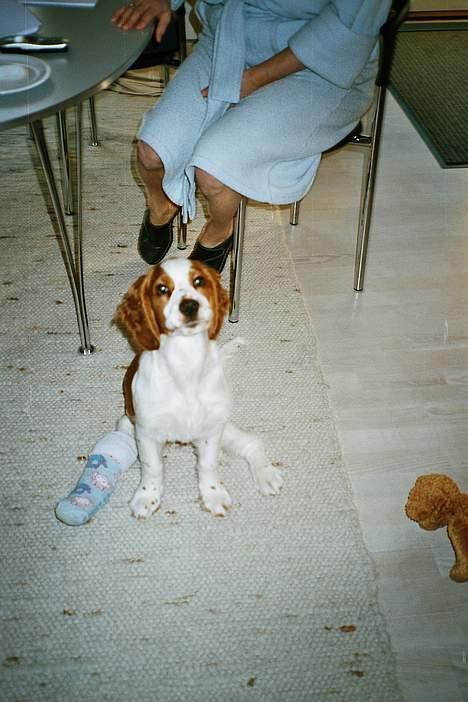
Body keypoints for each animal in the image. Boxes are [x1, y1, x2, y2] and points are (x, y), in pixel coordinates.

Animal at [114, 260, 282, 524]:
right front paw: (147, 497)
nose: (190, 306)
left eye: (198, 281)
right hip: (125, 424)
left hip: (225, 425)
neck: (186, 359)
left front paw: (213, 494)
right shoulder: (146, 432)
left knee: (252, 444)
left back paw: (266, 476)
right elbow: (153, 467)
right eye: (162, 289)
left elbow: (208, 465)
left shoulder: (211, 429)